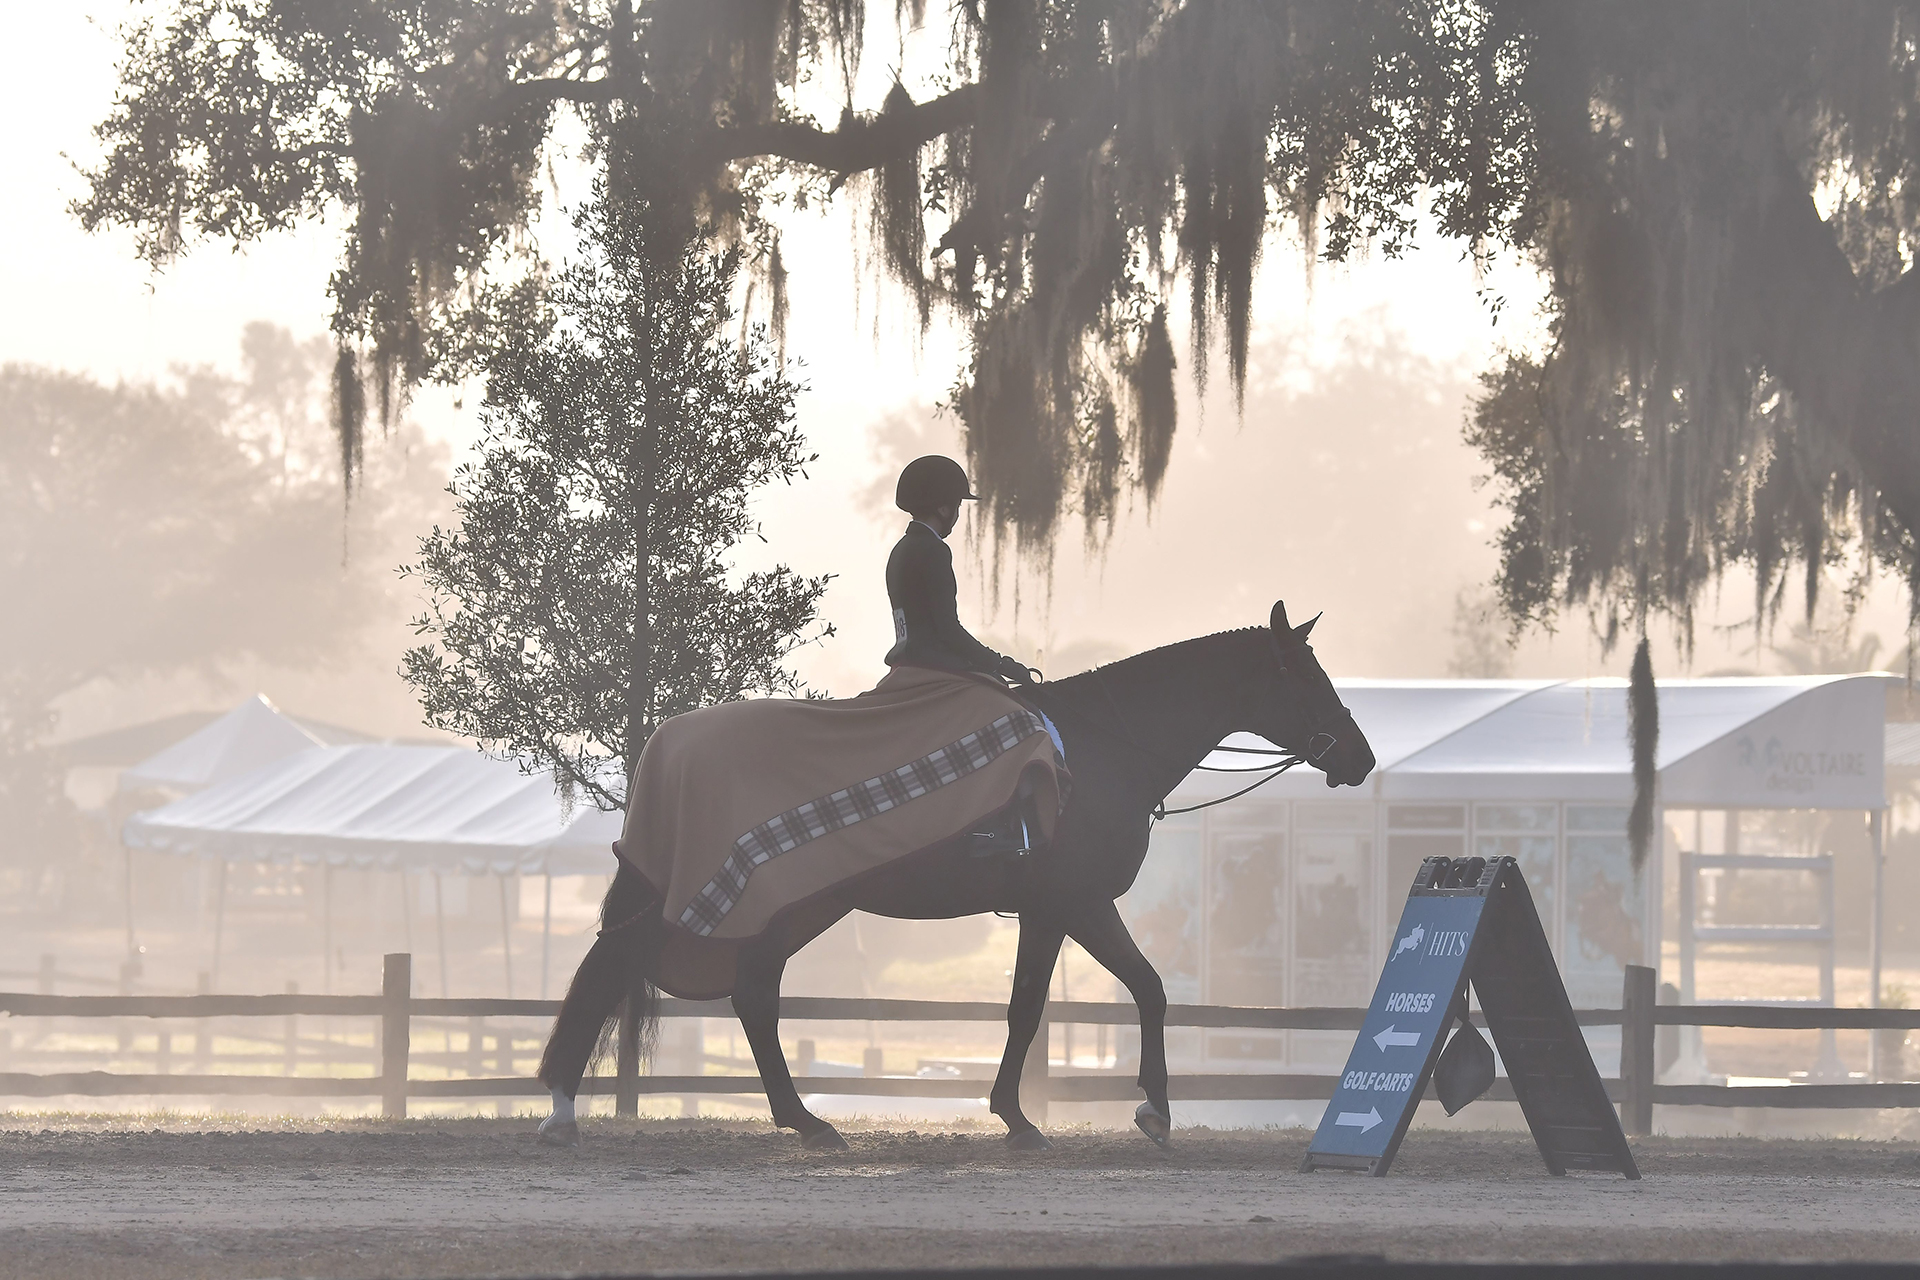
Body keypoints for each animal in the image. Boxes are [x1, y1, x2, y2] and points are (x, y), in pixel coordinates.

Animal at [533, 602, 1374, 1151]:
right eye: (1308, 677)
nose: (1362, 758)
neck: (1105, 746)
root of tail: (669, 740)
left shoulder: (1079, 906)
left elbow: (1145, 989)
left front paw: (1152, 1111)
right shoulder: (1062, 905)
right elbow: (1032, 1008)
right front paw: (1024, 1117)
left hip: (790, 911)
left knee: (751, 995)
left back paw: (805, 1120)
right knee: (620, 967)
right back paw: (566, 1109)